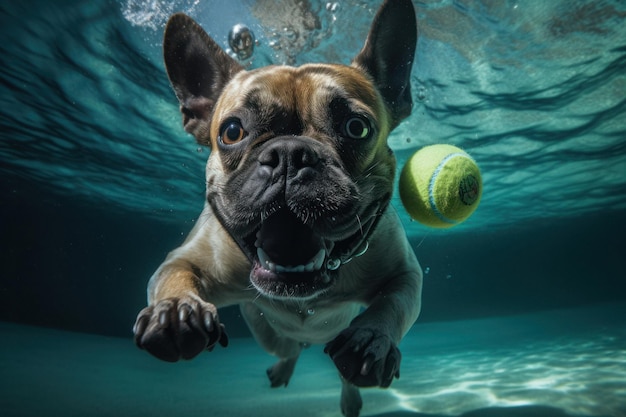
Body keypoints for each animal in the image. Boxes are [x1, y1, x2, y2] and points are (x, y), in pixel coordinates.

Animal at [133, 1, 422, 414]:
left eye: (356, 127)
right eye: (232, 131)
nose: (289, 153)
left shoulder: (405, 273)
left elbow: (393, 304)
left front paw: (372, 339)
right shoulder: (183, 259)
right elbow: (174, 276)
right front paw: (174, 310)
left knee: (339, 371)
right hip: (263, 330)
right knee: (288, 349)